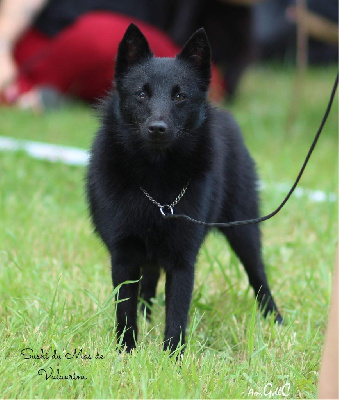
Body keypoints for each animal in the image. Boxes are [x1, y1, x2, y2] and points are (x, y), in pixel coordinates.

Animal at [86, 22, 282, 354]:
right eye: (142, 93)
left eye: (180, 96)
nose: (157, 128)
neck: (156, 183)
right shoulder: (124, 256)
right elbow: (125, 311)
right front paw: (126, 352)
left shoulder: (182, 259)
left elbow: (177, 314)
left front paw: (172, 358)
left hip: (244, 229)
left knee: (258, 275)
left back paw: (274, 319)